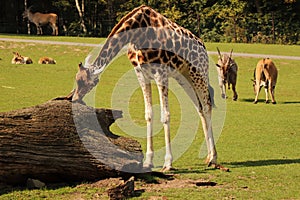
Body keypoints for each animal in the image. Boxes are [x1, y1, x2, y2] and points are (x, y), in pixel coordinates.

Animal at [71, 5, 218, 170]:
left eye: (87, 83)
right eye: (76, 80)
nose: (74, 98)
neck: (137, 32)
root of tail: (203, 47)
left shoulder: (161, 74)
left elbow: (165, 115)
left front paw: (168, 163)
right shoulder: (141, 74)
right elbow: (148, 115)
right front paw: (148, 161)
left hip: (199, 73)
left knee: (207, 106)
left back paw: (213, 158)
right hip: (184, 77)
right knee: (199, 108)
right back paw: (207, 157)